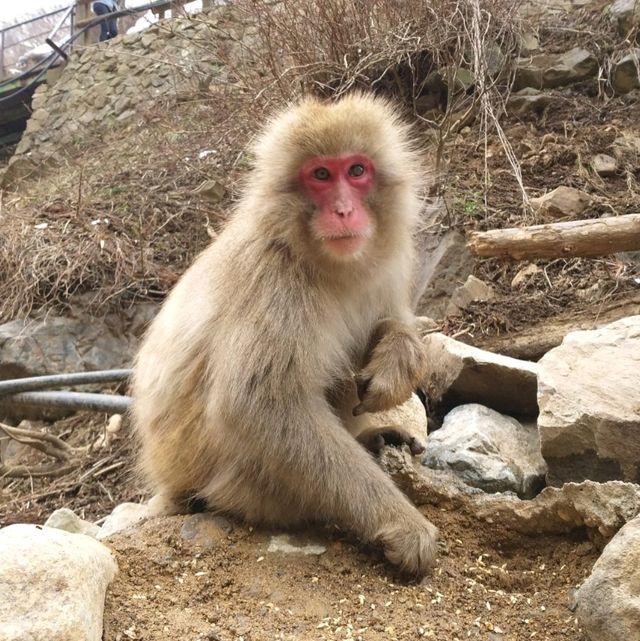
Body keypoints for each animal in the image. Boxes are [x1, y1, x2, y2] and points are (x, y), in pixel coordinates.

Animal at [132, 91, 438, 576]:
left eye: (356, 171)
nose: (344, 210)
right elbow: (257, 405)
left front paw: (399, 363)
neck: (320, 260)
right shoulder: (273, 280)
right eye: (320, 175)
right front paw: (402, 524)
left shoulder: (390, 260)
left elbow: (391, 320)